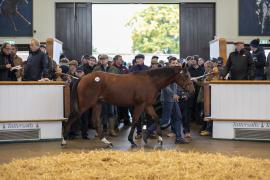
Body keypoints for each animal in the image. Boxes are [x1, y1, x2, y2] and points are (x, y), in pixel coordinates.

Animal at [62, 66, 195, 148]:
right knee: (72, 118)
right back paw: (64, 140)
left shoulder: (147, 105)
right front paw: (132, 141)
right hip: (85, 104)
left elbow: (156, 118)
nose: (192, 90)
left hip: (97, 103)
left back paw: (107, 142)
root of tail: (82, 78)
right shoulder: (140, 105)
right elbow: (135, 121)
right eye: (186, 75)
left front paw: (159, 139)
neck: (151, 81)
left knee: (95, 121)